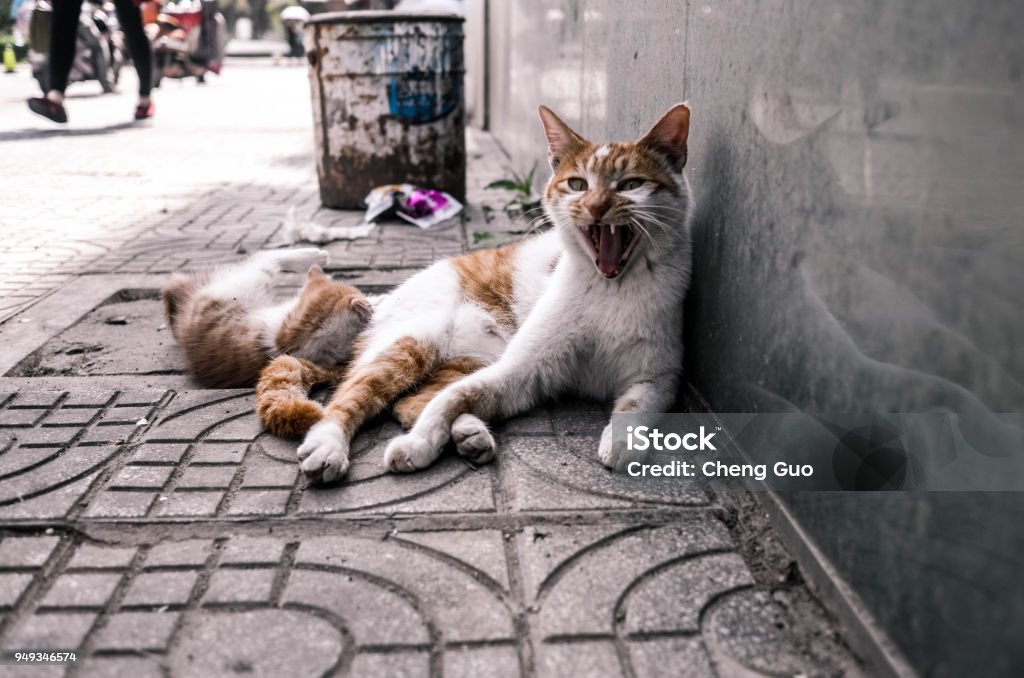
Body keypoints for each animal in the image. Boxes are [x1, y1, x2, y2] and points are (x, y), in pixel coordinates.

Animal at [262, 103, 696, 483]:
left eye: (630, 184)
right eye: (577, 184)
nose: (596, 206)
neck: (609, 289)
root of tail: (374, 303)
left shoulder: (659, 378)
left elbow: (636, 406)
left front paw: (622, 442)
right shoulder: (521, 368)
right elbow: (449, 400)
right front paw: (419, 444)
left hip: (471, 356)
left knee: (414, 399)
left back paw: (469, 434)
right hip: (410, 346)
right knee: (350, 398)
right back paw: (329, 446)